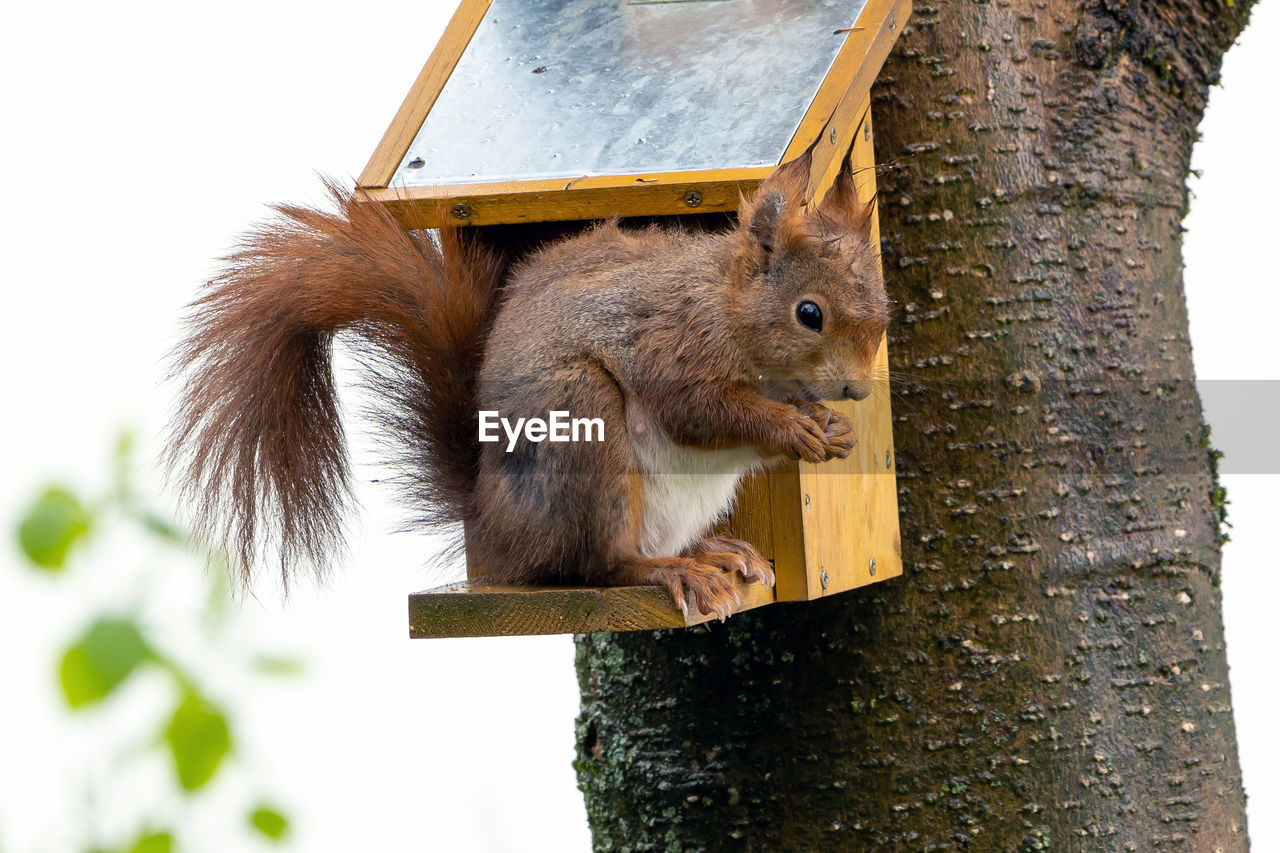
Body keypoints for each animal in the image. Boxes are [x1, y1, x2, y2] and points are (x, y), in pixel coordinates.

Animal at [167, 149, 890, 617]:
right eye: (809, 313)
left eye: (883, 310)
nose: (858, 391)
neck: (723, 301)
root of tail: (494, 524)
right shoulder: (670, 344)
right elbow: (700, 411)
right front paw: (794, 428)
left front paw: (836, 431)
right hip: (582, 429)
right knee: (600, 565)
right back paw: (670, 569)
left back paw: (721, 551)